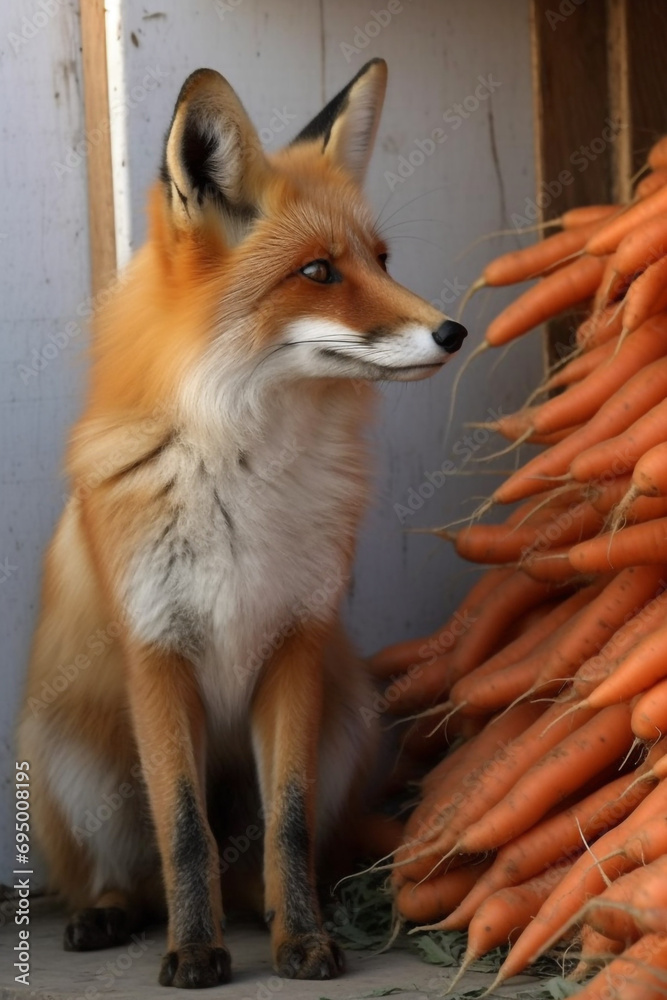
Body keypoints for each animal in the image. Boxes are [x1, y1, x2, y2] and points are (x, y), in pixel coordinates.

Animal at [17, 58, 467, 989]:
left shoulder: (293, 645)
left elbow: (287, 824)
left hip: (347, 716)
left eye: (381, 259)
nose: (453, 330)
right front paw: (195, 952)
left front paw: (302, 941)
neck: (242, 468)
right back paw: (110, 914)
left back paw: (266, 909)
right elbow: (183, 830)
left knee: (259, 858)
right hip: (66, 757)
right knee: (133, 874)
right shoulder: (157, 657)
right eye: (318, 272)